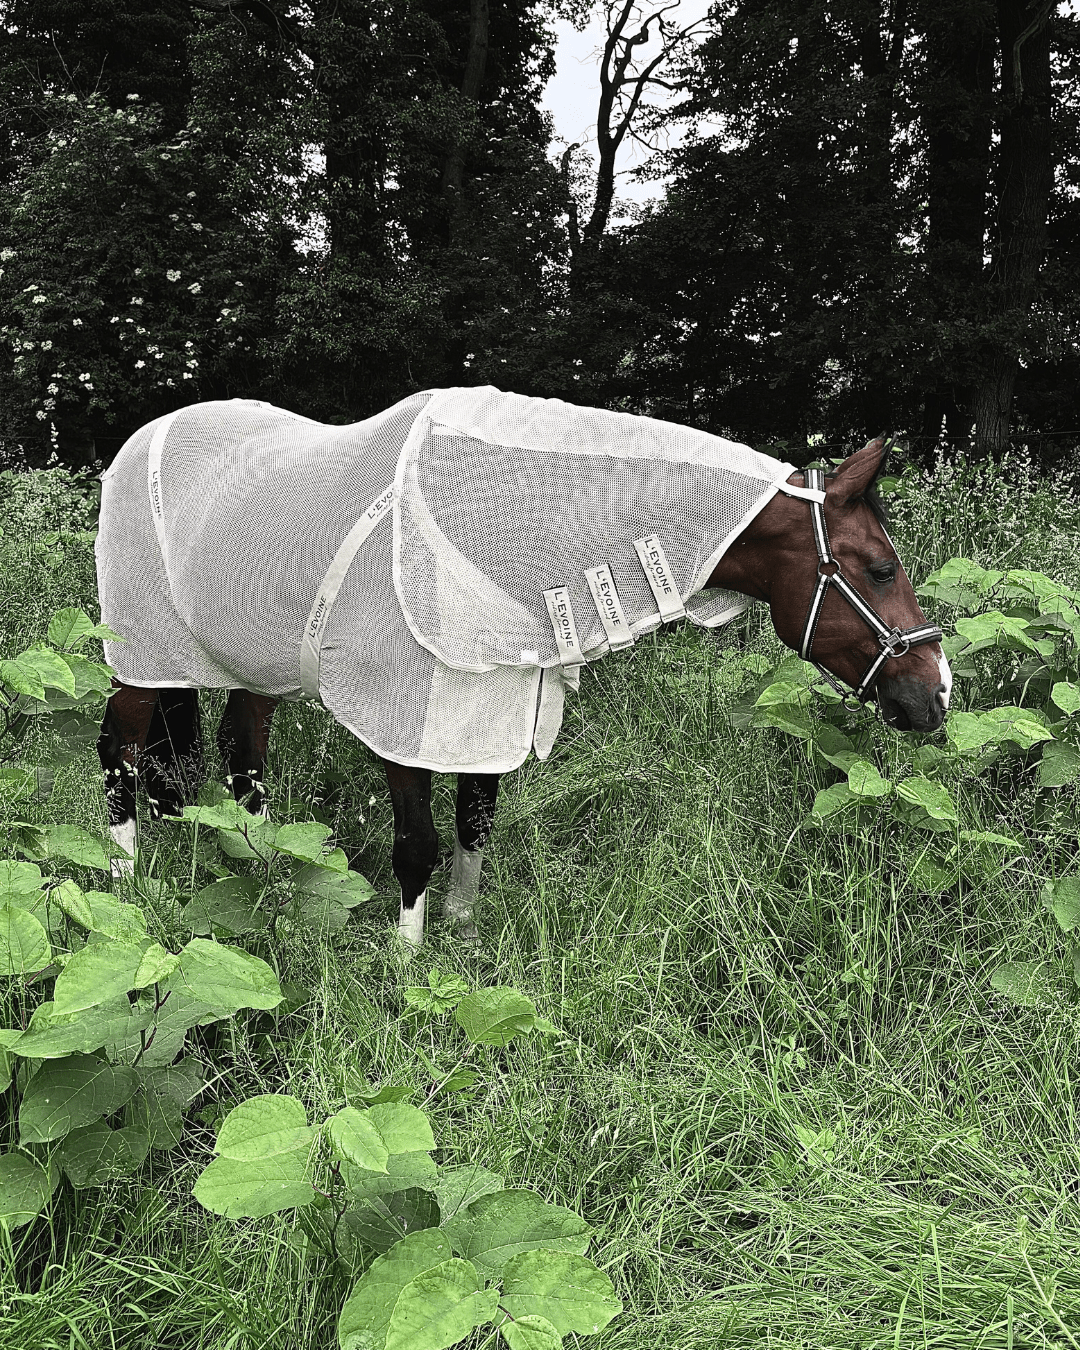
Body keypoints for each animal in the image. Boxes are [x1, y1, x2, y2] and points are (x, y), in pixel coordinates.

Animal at [95, 394, 950, 950]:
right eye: (880, 569)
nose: (934, 695)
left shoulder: (491, 709)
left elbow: (475, 825)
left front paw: (464, 937)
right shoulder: (411, 720)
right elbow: (418, 843)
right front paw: (408, 965)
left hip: (253, 665)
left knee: (243, 758)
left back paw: (271, 869)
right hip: (142, 658)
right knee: (120, 752)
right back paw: (126, 883)